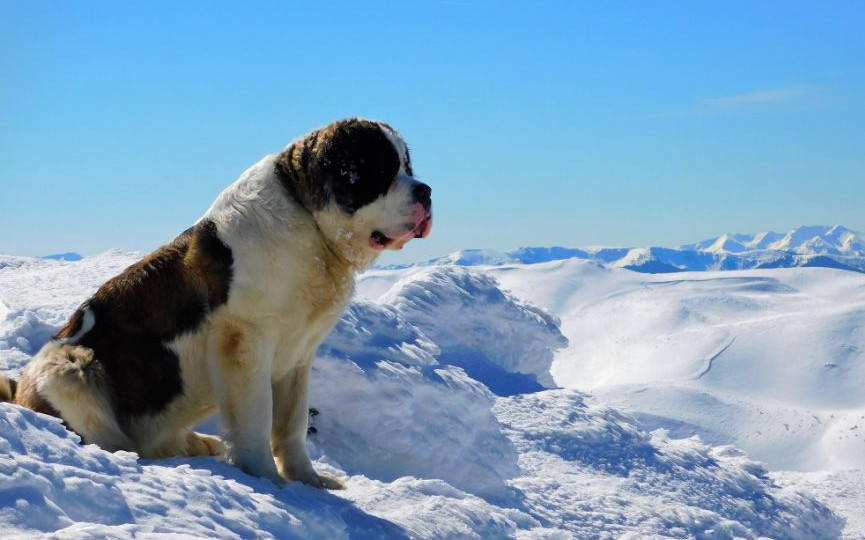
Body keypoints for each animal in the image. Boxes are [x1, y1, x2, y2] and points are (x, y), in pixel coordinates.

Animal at [0, 118, 432, 490]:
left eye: (407, 165)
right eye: (381, 169)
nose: (426, 191)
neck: (309, 227)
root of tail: (21, 388)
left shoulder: (298, 355)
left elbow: (291, 424)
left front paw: (310, 482)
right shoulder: (247, 342)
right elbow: (257, 418)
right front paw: (269, 482)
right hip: (71, 367)